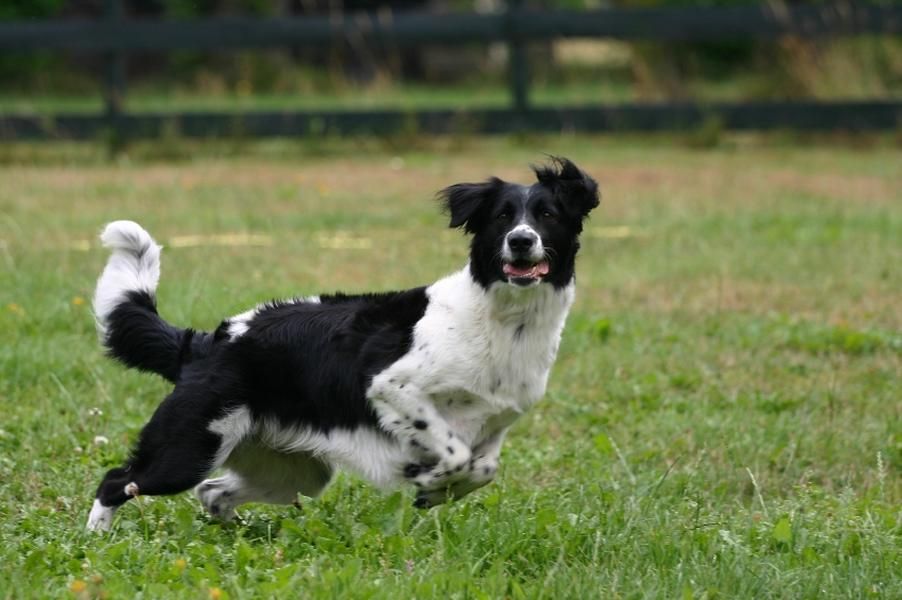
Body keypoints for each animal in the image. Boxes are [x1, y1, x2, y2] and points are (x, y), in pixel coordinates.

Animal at [86, 158, 600, 528]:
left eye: (547, 215)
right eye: (501, 218)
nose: (520, 241)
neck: (503, 320)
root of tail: (211, 341)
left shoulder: (497, 423)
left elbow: (481, 468)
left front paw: (435, 489)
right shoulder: (391, 387)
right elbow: (453, 451)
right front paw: (429, 479)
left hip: (296, 472)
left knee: (211, 492)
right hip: (188, 448)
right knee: (117, 481)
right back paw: (98, 540)